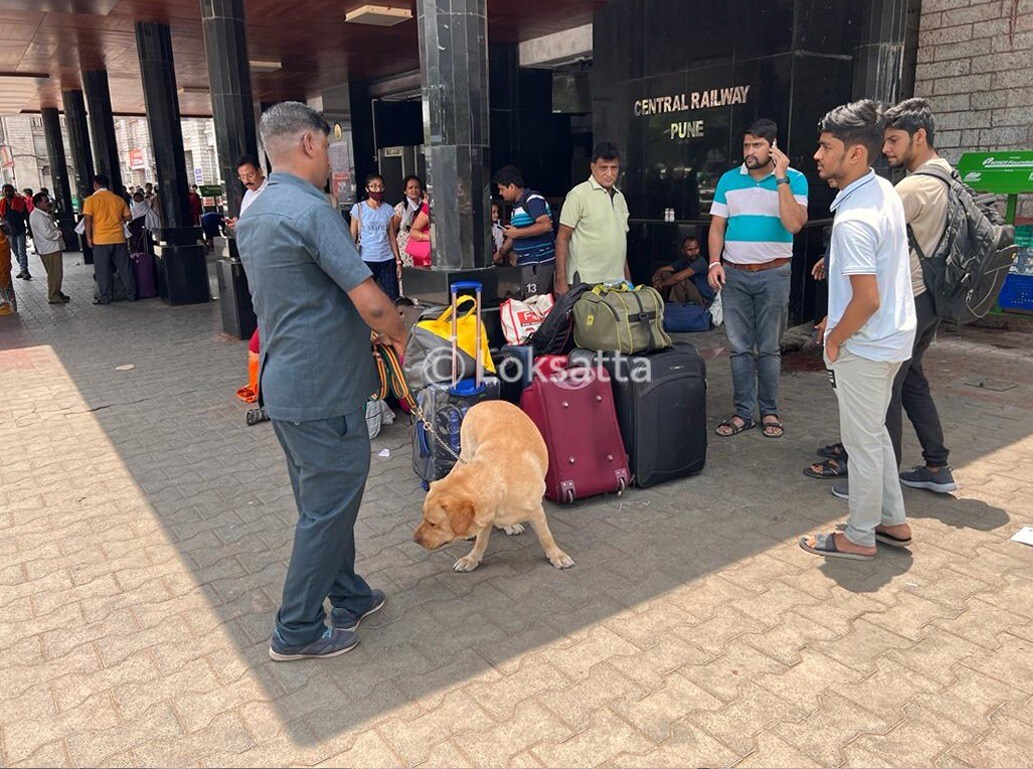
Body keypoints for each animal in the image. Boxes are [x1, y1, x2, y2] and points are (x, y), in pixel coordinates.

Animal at [411, 396, 574, 570]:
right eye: (424, 517)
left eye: (433, 523)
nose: (414, 539)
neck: (497, 480)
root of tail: (487, 401)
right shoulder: (485, 515)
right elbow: (481, 541)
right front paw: (472, 559)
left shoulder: (536, 511)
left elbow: (546, 537)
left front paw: (556, 555)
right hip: (467, 451)